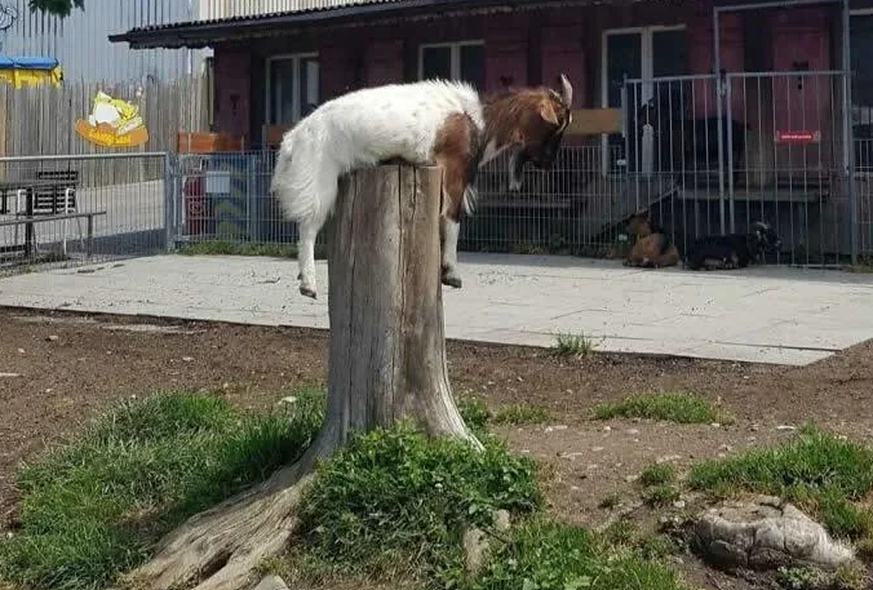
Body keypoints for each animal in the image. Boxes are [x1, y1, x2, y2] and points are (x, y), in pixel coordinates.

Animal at [270, 75, 574, 299]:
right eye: (558, 124)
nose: (548, 163)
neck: (478, 120)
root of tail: (293, 139)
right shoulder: (453, 170)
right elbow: (452, 220)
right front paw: (451, 273)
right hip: (318, 176)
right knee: (308, 226)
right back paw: (308, 284)